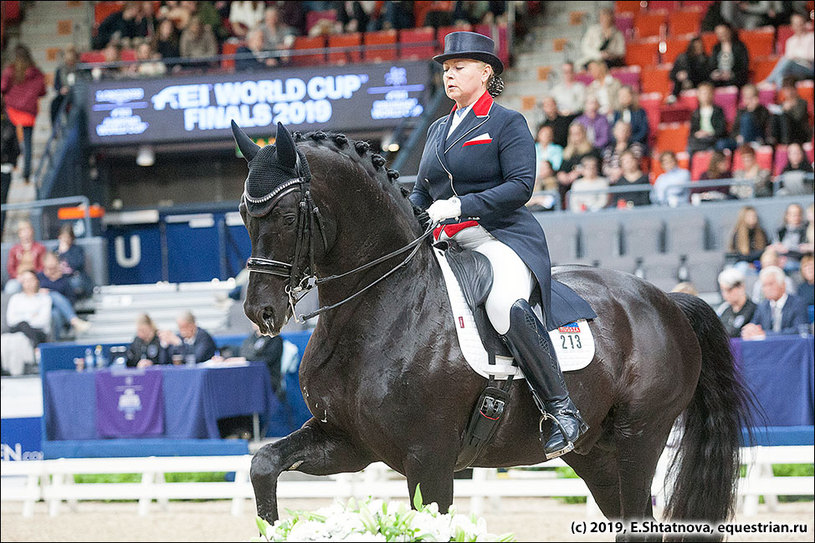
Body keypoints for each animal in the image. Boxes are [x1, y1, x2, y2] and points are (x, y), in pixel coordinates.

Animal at [233, 122, 756, 540]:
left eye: (286, 215)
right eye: (240, 212)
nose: (261, 311)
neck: (380, 305)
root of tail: (666, 300)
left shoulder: (429, 460)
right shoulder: (346, 440)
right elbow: (263, 464)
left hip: (640, 436)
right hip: (596, 453)